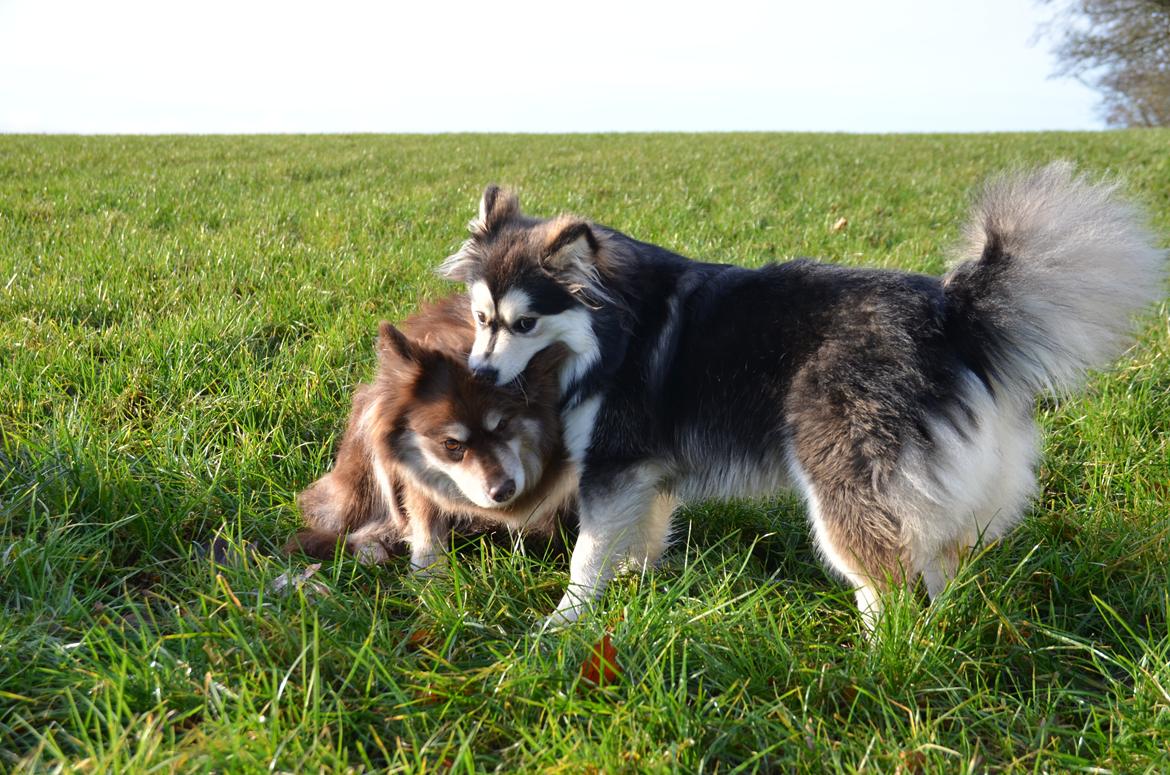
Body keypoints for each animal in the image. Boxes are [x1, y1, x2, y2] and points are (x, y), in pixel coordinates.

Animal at [285, 296, 573, 571]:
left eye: (502, 425)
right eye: (451, 444)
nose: (503, 491)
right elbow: (426, 520)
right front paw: (430, 575)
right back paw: (371, 548)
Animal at [437, 165, 1160, 632]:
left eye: (525, 324)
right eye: (481, 318)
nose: (480, 375)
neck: (611, 327)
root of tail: (951, 315)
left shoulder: (612, 463)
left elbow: (586, 554)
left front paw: (563, 624)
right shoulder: (645, 474)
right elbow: (639, 537)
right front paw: (635, 590)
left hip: (846, 479)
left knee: (886, 584)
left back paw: (880, 657)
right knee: (938, 567)